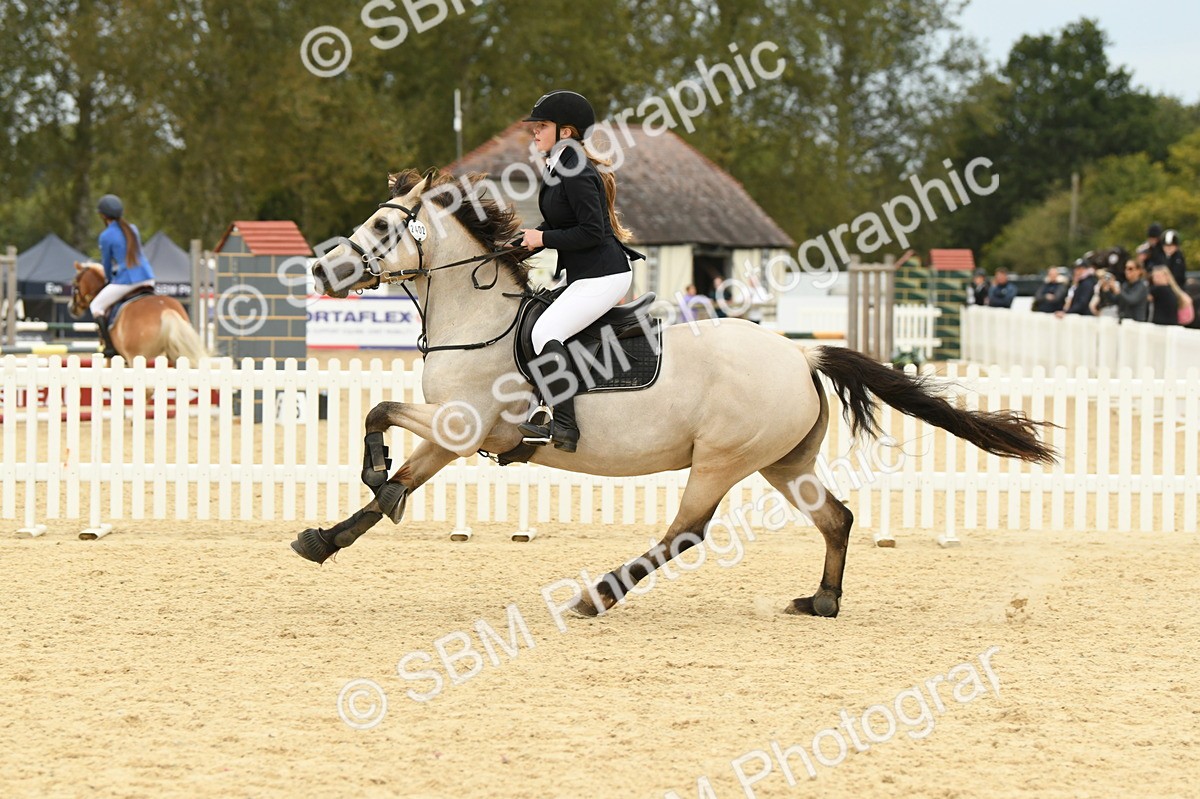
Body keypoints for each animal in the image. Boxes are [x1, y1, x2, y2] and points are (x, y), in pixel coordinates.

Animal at [69, 261, 208, 363]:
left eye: (75, 283)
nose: (71, 308)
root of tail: (166, 310)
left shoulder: (113, 356)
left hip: (138, 357)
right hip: (173, 355)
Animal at [290, 168, 1057, 619]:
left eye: (383, 226)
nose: (321, 271)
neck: (479, 320)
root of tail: (798, 350)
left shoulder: (464, 425)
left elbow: (378, 411)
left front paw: (373, 476)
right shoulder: (456, 436)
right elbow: (393, 473)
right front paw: (328, 536)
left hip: (720, 459)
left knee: (686, 531)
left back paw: (597, 595)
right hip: (785, 463)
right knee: (835, 517)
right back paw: (822, 600)